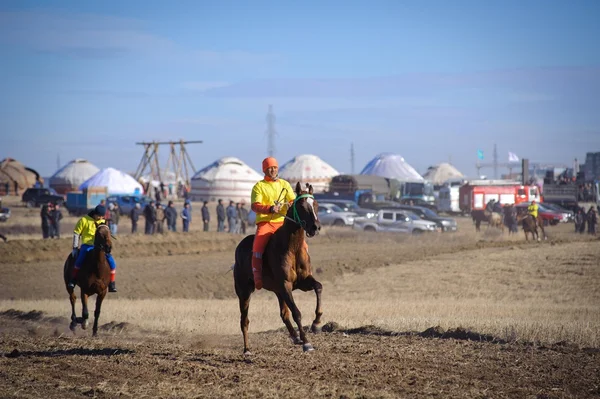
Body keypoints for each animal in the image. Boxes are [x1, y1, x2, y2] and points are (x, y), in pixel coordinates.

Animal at [233, 183, 324, 354]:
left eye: (316, 204)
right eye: (302, 206)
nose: (315, 227)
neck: (292, 248)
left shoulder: (302, 282)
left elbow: (318, 287)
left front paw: (316, 323)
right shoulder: (285, 284)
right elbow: (296, 313)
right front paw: (306, 342)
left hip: (278, 291)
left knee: (283, 314)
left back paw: (295, 337)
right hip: (244, 292)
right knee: (244, 320)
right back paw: (247, 349)